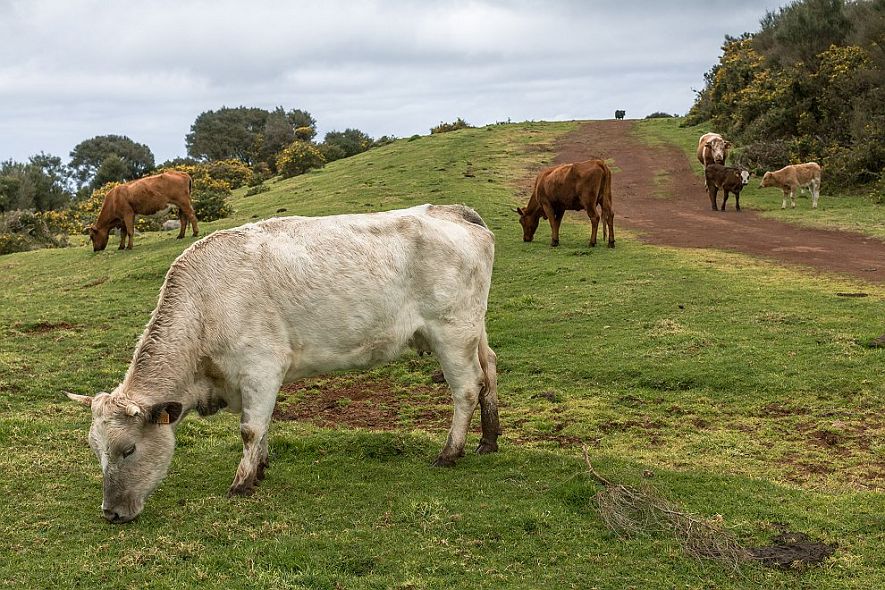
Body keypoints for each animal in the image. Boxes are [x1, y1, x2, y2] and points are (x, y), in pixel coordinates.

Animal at [66, 206, 500, 524]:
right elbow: (264, 425)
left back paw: (450, 452)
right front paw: (259, 469)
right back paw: (489, 440)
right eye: (95, 450)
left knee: (466, 388)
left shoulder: (260, 366)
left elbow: (250, 429)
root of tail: (451, 211)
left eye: (128, 450)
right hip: (473, 330)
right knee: (490, 370)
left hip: (451, 331)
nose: (110, 513)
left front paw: (242, 483)